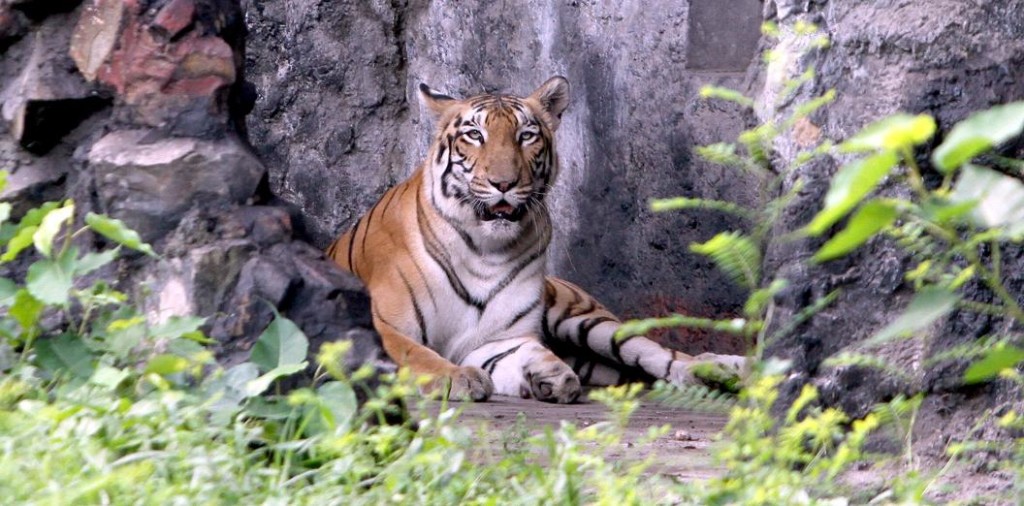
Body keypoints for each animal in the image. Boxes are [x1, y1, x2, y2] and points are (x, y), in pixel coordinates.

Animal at [327, 76, 745, 403]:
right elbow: (413, 352)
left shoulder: (498, 338)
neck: (484, 250)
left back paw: (717, 371)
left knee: (661, 354)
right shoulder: (380, 323)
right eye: (475, 135)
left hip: (588, 321)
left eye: (525, 135)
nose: (504, 183)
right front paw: (462, 377)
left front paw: (542, 375)